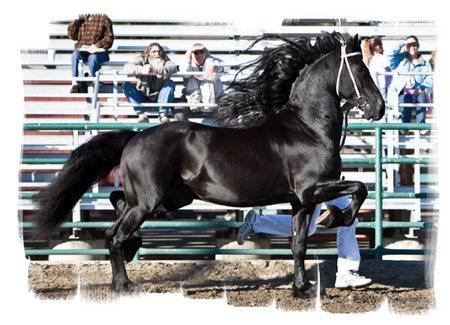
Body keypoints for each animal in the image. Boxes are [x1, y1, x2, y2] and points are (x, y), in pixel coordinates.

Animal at [32, 32, 384, 296]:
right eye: (362, 71)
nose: (379, 108)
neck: (307, 128)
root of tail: (135, 137)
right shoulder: (313, 191)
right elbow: (360, 188)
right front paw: (335, 217)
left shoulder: (301, 201)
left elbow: (298, 243)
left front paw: (303, 288)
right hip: (150, 200)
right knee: (114, 233)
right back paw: (124, 285)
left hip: (171, 197)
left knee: (115, 208)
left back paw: (133, 249)